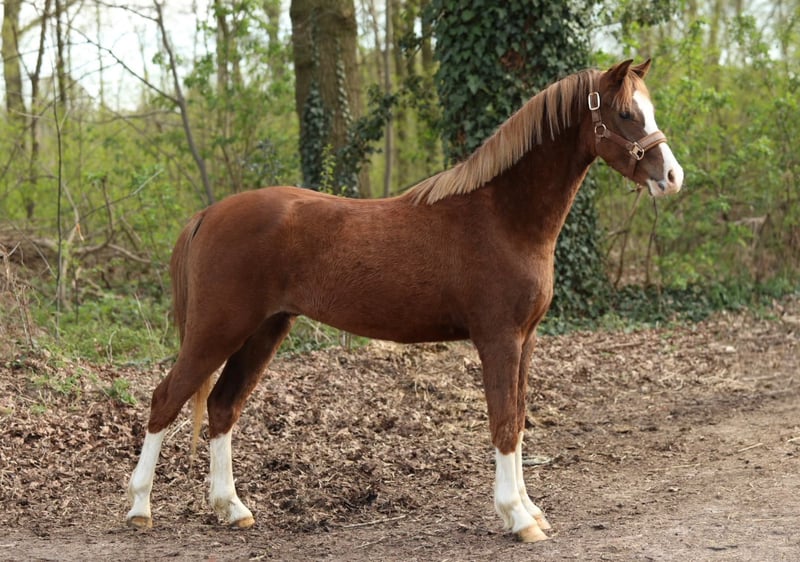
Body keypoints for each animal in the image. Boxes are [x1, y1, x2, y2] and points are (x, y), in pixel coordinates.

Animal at [126, 59, 683, 543]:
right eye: (626, 114)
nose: (672, 177)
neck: (502, 216)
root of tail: (209, 214)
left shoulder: (525, 340)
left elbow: (519, 419)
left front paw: (529, 509)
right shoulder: (498, 339)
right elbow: (503, 422)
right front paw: (517, 518)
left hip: (264, 331)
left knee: (222, 407)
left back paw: (232, 508)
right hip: (218, 329)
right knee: (165, 399)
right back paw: (139, 508)